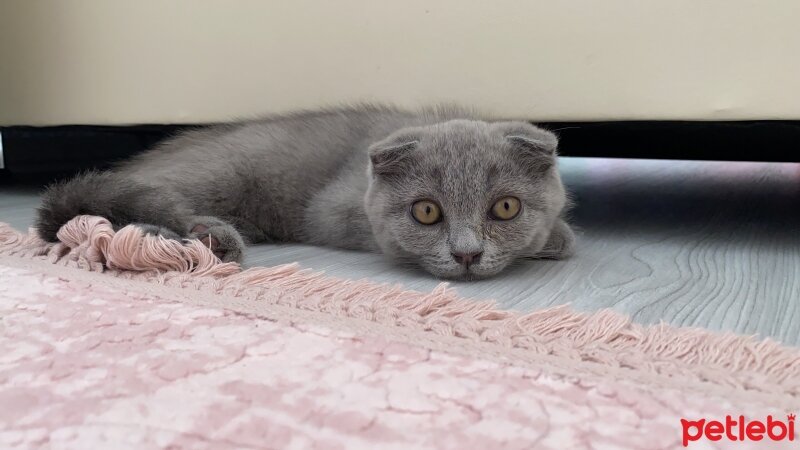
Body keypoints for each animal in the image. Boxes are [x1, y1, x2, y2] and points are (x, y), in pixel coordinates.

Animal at [36, 106, 576, 282]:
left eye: (505, 207)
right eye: (426, 212)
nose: (467, 254)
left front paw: (554, 236)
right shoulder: (334, 207)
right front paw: (557, 238)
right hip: (218, 175)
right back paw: (192, 237)